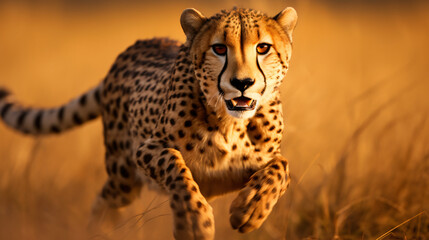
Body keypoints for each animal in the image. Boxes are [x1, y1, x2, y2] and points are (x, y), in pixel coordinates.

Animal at [0, 7, 294, 240]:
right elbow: (176, 164)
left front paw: (251, 208)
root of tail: (135, 45)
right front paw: (193, 221)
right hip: (122, 176)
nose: (242, 83)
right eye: (219, 48)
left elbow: (280, 167)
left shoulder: (249, 167)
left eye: (263, 48)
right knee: (102, 203)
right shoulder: (145, 150)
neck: (230, 122)